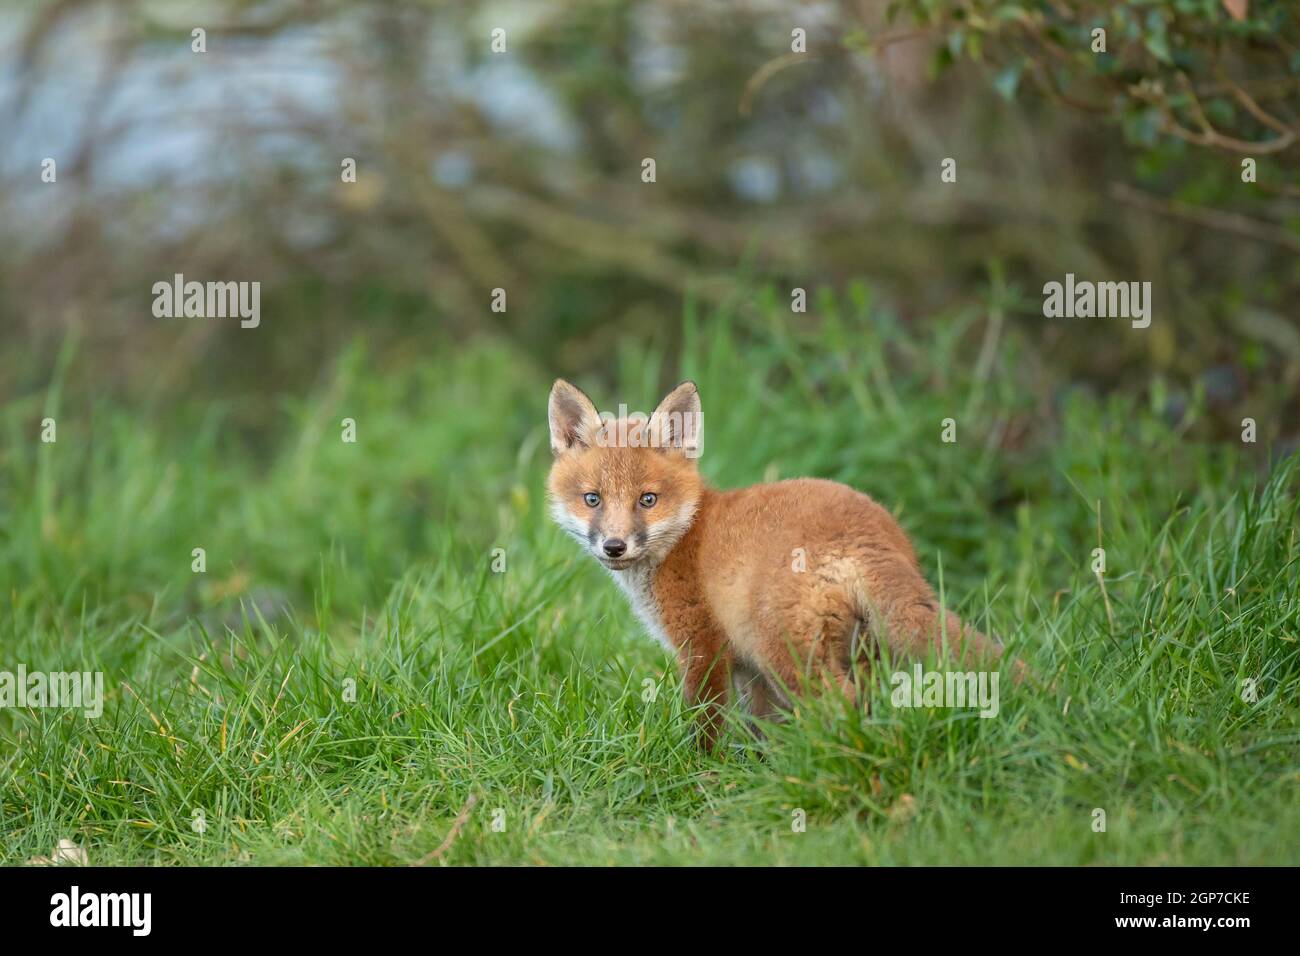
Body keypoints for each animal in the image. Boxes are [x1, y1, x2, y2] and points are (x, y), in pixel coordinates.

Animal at [546, 379, 1013, 749]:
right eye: (593, 499)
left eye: (647, 499)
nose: (614, 546)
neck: (685, 534)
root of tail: (866, 533)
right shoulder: (749, 671)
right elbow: (762, 729)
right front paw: (758, 771)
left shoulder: (704, 649)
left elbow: (707, 725)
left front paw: (699, 772)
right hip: (858, 651)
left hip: (784, 651)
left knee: (839, 702)